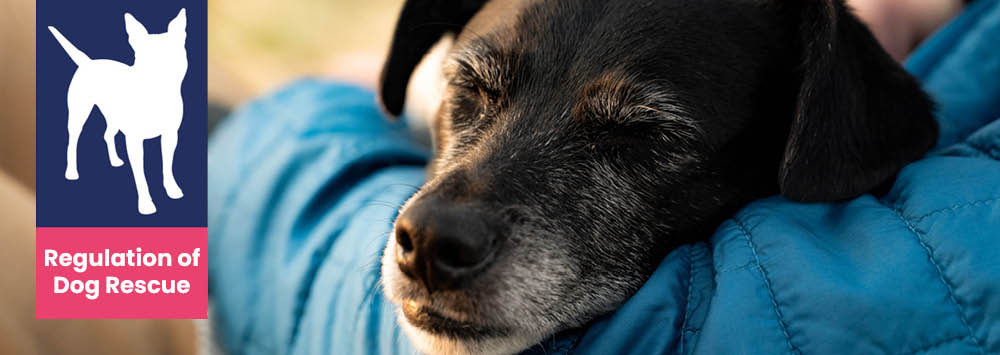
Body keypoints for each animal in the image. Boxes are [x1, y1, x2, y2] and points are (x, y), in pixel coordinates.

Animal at [49, 9, 188, 214]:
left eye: (172, 56)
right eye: (145, 60)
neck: (156, 98)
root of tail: (88, 62)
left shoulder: (170, 136)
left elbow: (167, 166)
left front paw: (172, 189)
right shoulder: (135, 142)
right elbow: (141, 175)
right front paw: (146, 204)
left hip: (114, 116)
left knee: (107, 134)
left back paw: (114, 160)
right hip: (78, 114)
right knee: (72, 141)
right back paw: (72, 171)